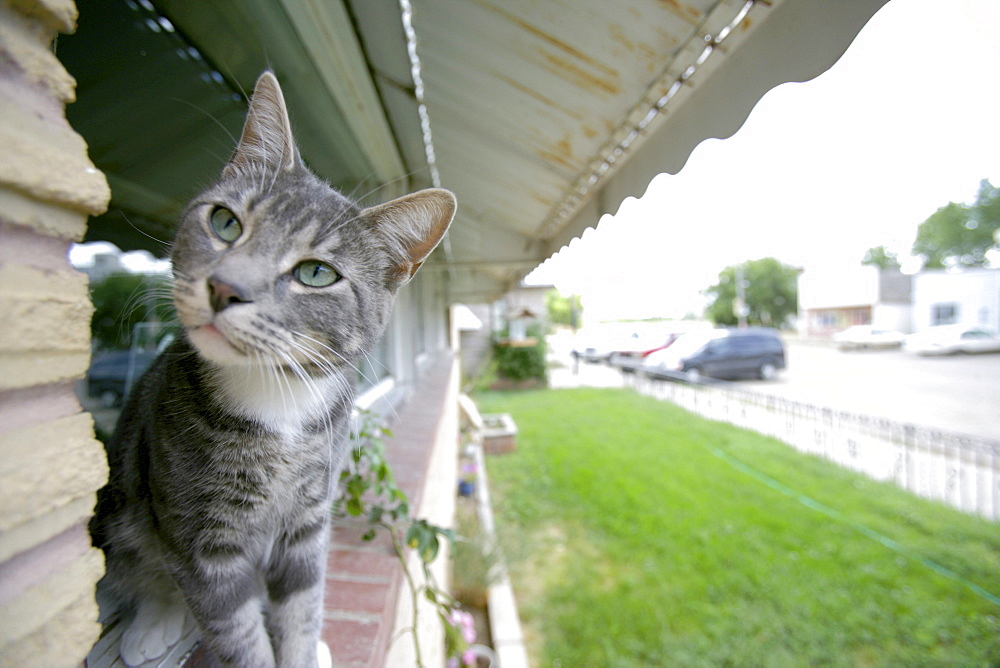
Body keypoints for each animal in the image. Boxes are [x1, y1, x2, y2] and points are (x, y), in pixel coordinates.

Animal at [90, 70, 458, 664]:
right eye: (224, 222)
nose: (224, 287)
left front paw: (307, 648)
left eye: (316, 273)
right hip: (127, 511)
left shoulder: (309, 522)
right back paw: (154, 624)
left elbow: (302, 610)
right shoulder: (201, 542)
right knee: (145, 572)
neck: (276, 402)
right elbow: (238, 635)